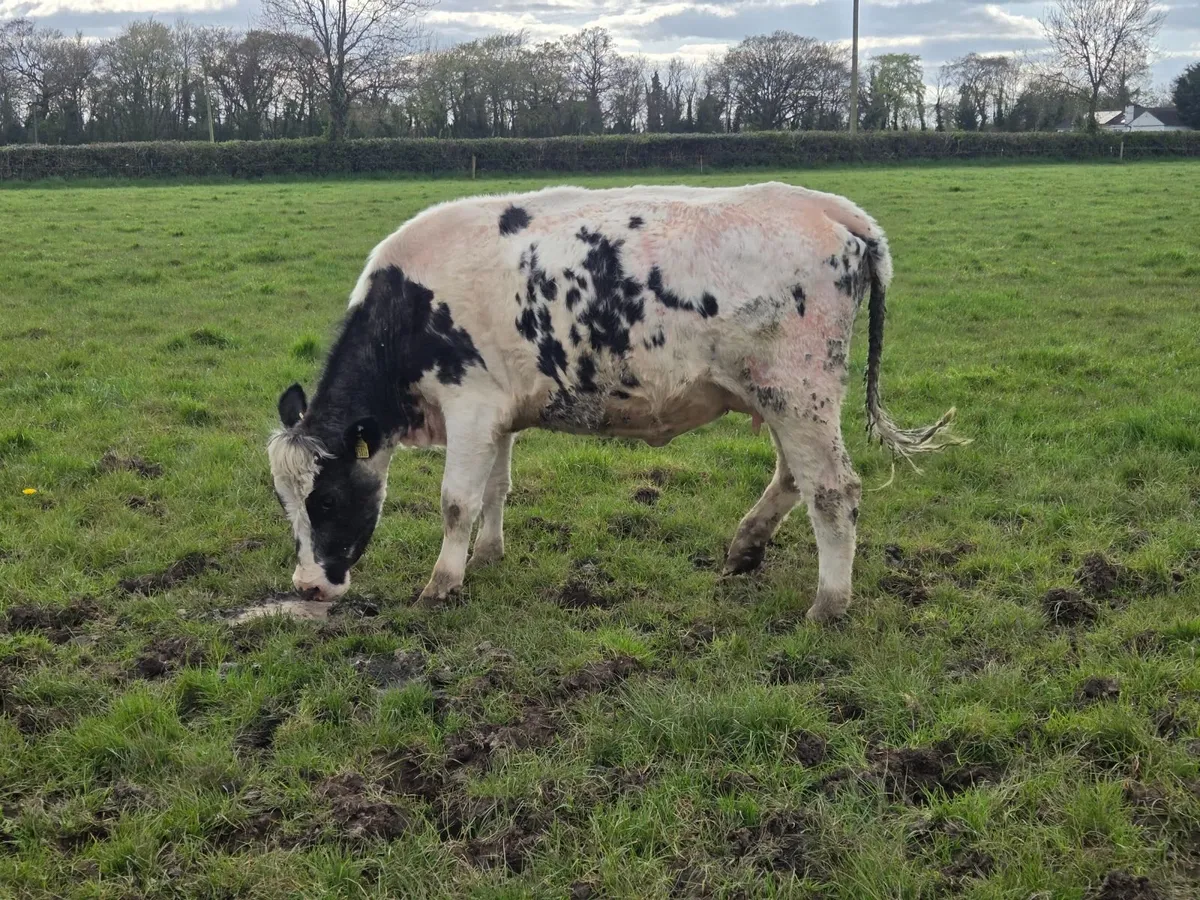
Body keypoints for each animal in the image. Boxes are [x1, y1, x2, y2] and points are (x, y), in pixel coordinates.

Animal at [268, 182, 965, 622]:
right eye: (284, 504)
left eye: (324, 500)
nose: (308, 587)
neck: (407, 310)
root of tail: (827, 206)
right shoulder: (500, 412)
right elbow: (496, 488)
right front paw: (487, 556)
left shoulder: (469, 404)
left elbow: (456, 501)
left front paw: (441, 584)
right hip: (786, 398)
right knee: (795, 476)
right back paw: (745, 549)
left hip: (799, 393)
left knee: (833, 489)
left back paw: (828, 604)